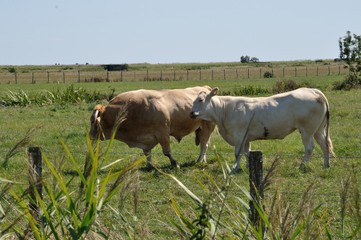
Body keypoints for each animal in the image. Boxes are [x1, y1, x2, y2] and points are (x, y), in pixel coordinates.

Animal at [190, 87, 334, 172]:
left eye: (201, 99)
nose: (191, 113)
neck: (225, 110)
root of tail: (314, 91)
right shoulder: (246, 137)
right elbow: (247, 152)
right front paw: (249, 167)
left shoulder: (239, 135)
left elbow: (238, 153)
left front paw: (235, 168)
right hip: (318, 129)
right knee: (325, 145)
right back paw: (326, 164)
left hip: (307, 130)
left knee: (309, 147)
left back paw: (303, 165)